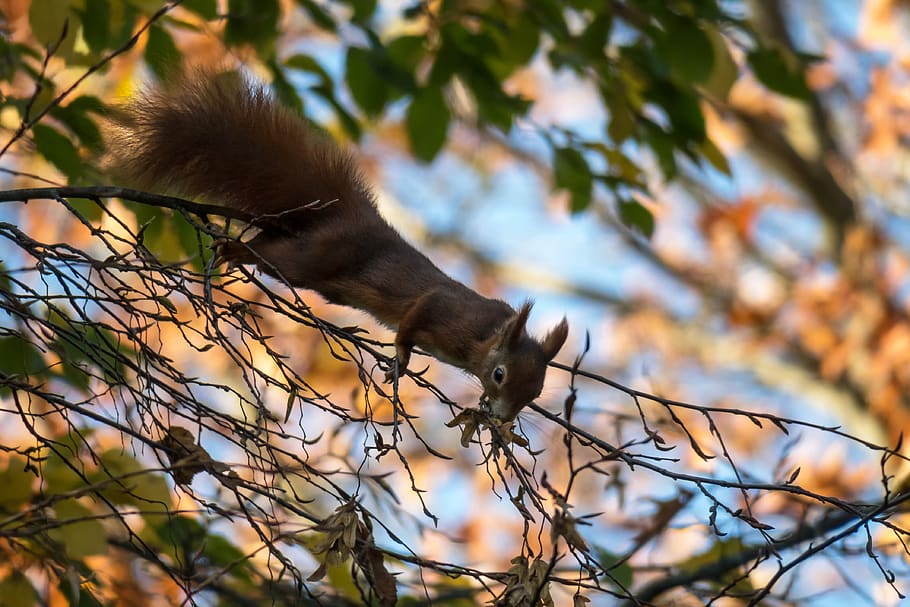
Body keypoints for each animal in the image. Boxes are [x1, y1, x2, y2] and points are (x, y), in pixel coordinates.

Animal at [105, 72, 569, 421]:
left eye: (536, 392)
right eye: (500, 375)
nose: (505, 418)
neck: (486, 335)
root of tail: (350, 217)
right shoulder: (442, 308)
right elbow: (412, 321)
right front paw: (402, 359)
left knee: (269, 242)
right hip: (317, 257)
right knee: (277, 256)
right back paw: (234, 252)